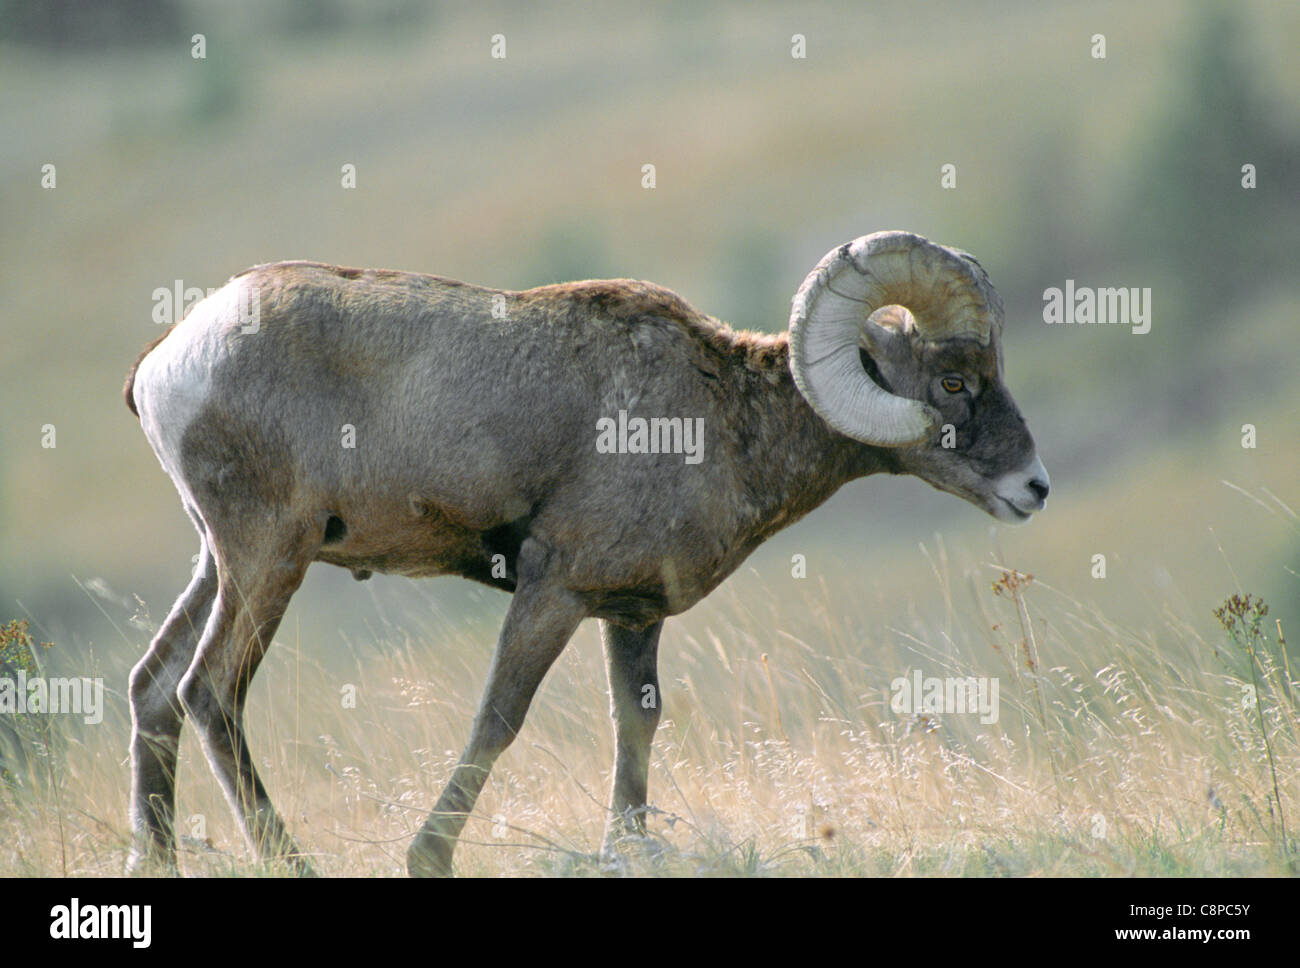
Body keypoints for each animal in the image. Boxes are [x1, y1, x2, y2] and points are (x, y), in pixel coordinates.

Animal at [126, 229, 1050, 873]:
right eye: (954, 382)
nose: (1034, 487)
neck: (726, 421)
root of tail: (168, 363)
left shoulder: (630, 614)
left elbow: (636, 722)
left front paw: (626, 850)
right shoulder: (555, 592)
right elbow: (498, 718)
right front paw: (429, 857)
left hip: (220, 564)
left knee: (154, 690)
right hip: (267, 560)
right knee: (211, 693)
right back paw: (293, 863)